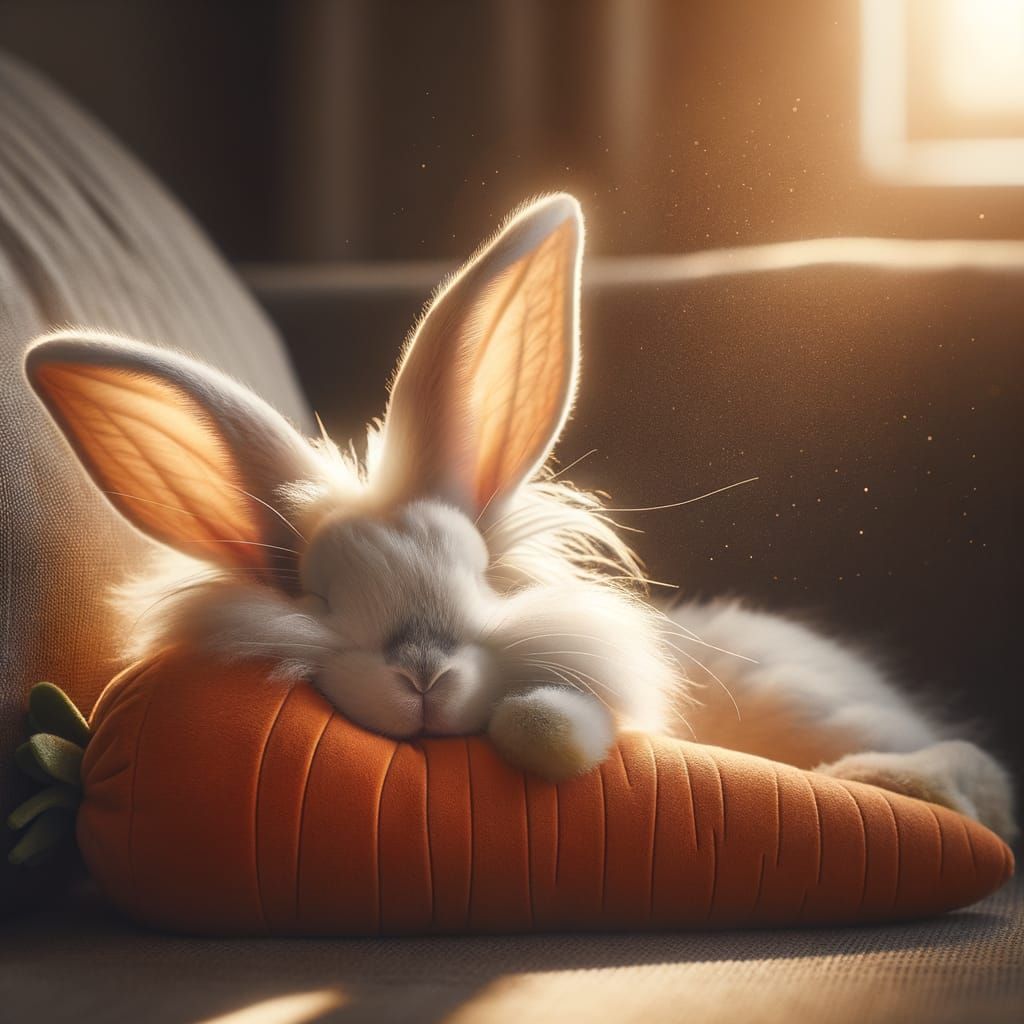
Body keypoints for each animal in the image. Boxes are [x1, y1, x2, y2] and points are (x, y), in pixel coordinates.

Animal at [25, 194, 1017, 839]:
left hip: (819, 704)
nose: (423, 672)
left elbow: (562, 720)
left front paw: (538, 729)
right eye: (321, 598)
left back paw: (896, 783)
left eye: (481, 578)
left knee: (984, 774)